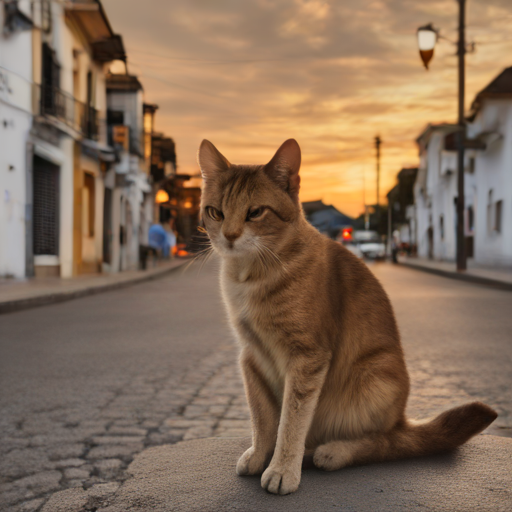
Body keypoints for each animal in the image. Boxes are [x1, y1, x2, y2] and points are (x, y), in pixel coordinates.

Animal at [196, 138, 496, 494]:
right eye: (215, 212)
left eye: (255, 212)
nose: (228, 236)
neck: (250, 277)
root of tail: (402, 417)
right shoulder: (251, 356)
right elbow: (263, 417)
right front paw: (259, 455)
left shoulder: (307, 358)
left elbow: (290, 422)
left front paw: (282, 468)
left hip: (375, 375)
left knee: (386, 442)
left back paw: (333, 452)